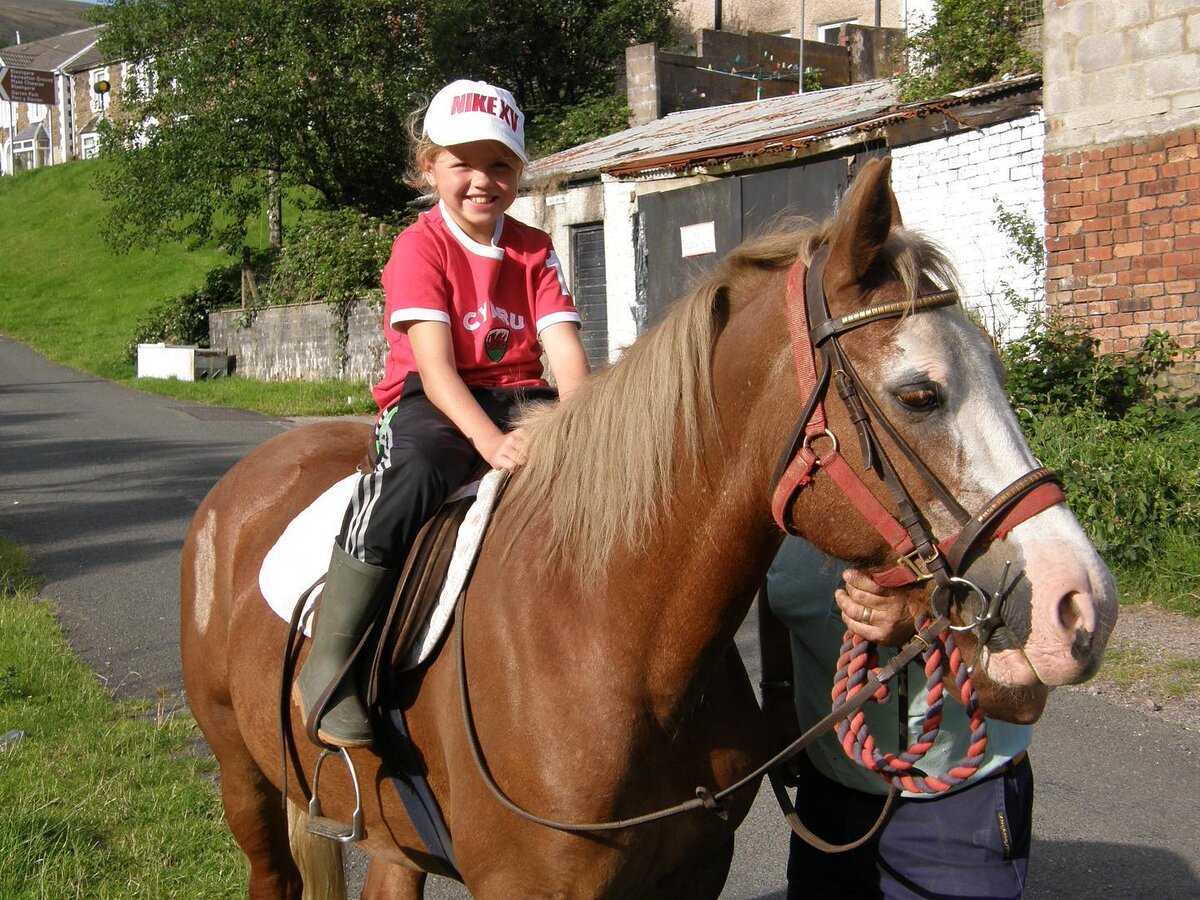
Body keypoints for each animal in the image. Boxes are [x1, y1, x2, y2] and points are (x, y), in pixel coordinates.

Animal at [182, 162, 1118, 900]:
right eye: (920, 393)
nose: (1080, 604)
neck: (607, 636)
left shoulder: (693, 874)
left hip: (385, 840)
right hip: (241, 782)